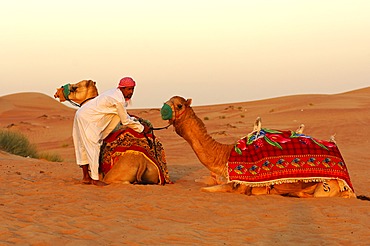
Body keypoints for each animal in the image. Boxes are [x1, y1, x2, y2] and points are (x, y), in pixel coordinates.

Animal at [160, 96, 356, 198]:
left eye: (179, 104)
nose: (162, 109)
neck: (224, 156)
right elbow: (200, 182)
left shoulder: (238, 186)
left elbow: (205, 188)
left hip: (327, 187)